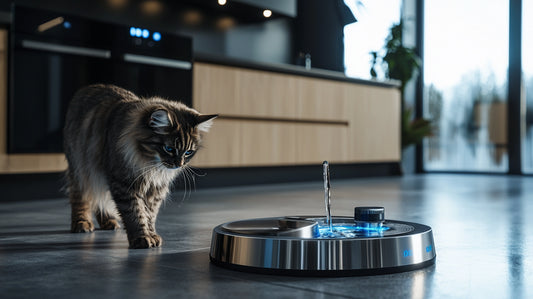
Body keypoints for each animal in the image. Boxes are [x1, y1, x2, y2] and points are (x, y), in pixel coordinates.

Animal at [63, 84, 217, 248]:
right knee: (81, 197)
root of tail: (89, 86)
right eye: (169, 149)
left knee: (100, 198)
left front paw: (152, 235)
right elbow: (135, 213)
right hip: (80, 169)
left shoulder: (155, 190)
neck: (150, 165)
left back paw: (108, 222)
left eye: (188, 152)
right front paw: (142, 238)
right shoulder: (124, 184)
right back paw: (82, 223)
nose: (179, 164)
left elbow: (149, 215)